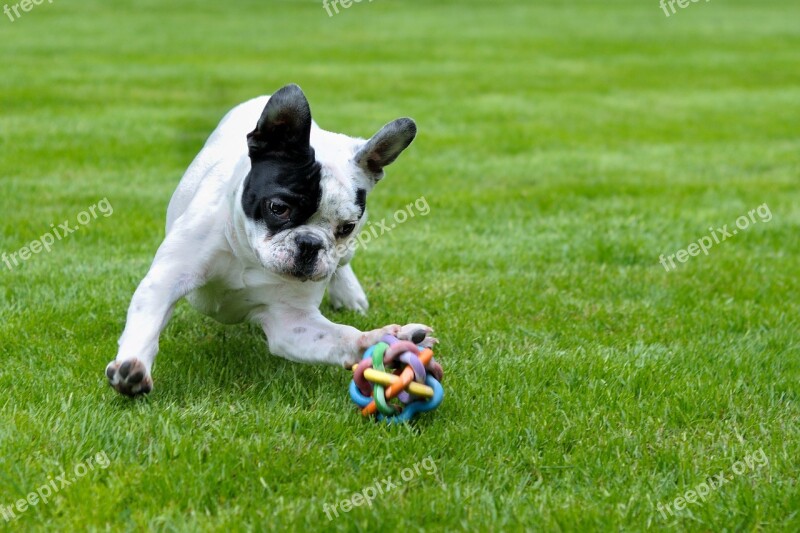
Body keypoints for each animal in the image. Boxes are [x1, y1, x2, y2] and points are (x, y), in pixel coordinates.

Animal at [106, 84, 434, 394]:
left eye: (347, 227)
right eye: (278, 208)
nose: (310, 243)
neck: (249, 258)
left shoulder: (291, 320)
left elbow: (344, 335)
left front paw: (386, 340)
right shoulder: (168, 279)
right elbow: (147, 322)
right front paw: (132, 365)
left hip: (345, 256)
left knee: (341, 266)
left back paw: (349, 293)